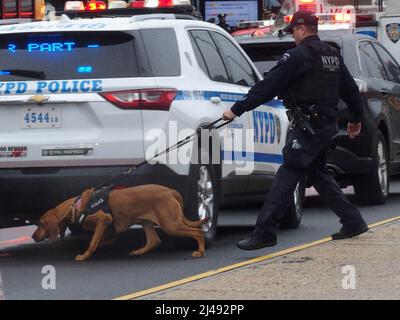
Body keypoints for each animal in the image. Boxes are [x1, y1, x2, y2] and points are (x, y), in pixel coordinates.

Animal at [31, 184, 208, 262]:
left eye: (41, 224)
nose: (32, 237)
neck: (75, 206)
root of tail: (172, 192)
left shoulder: (104, 220)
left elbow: (93, 243)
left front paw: (84, 256)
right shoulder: (109, 227)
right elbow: (101, 240)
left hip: (170, 225)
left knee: (198, 232)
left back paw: (200, 252)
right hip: (146, 222)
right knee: (154, 240)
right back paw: (138, 252)